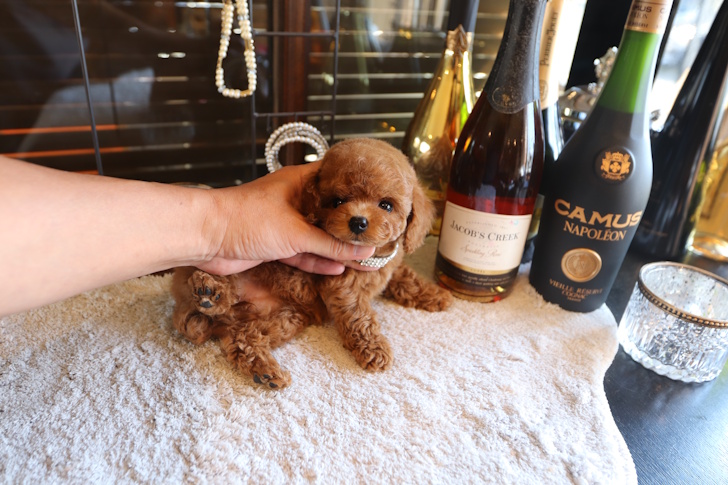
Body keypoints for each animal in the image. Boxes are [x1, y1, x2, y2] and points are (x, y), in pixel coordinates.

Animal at [171, 138, 452, 388]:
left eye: (386, 205)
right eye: (337, 202)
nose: (358, 222)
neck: (369, 256)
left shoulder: (388, 265)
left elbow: (405, 277)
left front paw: (436, 295)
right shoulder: (342, 287)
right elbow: (359, 317)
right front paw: (374, 349)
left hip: (286, 318)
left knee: (243, 338)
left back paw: (264, 371)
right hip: (243, 260)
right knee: (217, 277)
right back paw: (209, 290)